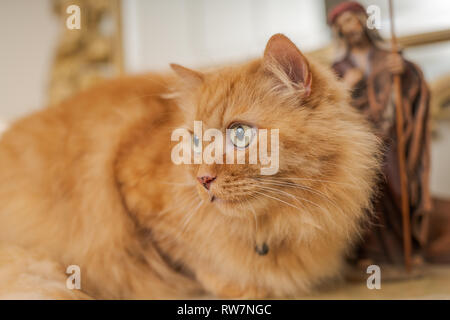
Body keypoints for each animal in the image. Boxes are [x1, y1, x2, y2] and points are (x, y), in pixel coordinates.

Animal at [0, 33, 380, 298]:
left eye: (240, 134)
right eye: (195, 141)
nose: (203, 179)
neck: (267, 228)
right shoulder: (135, 199)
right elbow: (200, 263)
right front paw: (243, 287)